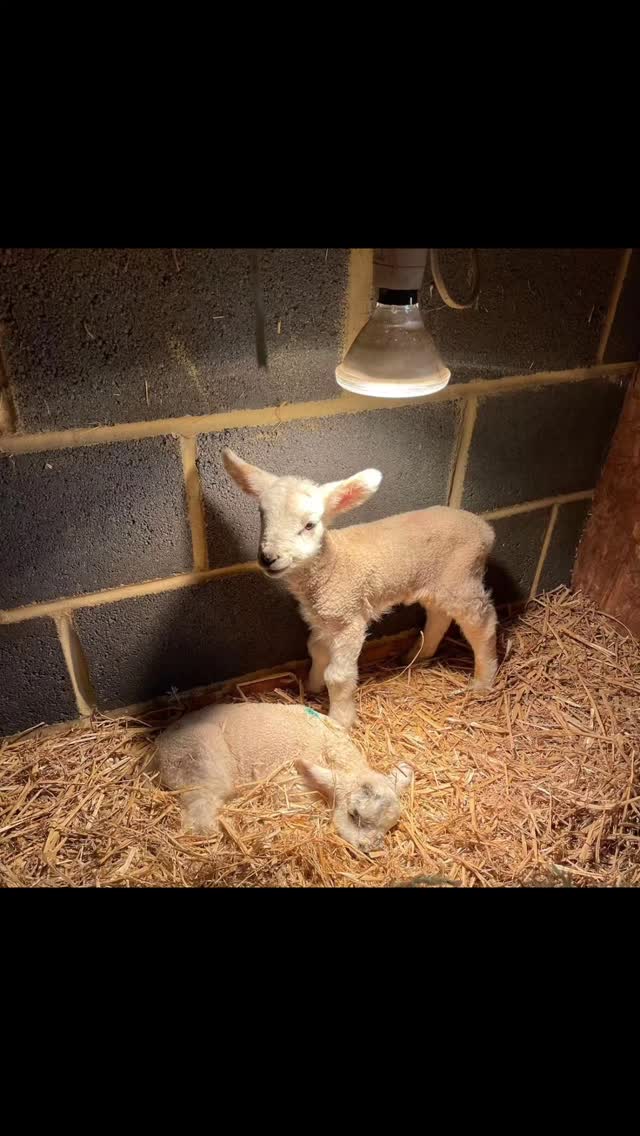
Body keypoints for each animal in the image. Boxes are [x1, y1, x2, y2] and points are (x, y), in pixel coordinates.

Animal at [156, 701, 413, 852]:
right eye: (353, 814)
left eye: (389, 826)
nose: (369, 847)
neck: (333, 750)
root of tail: (157, 749)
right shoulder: (291, 786)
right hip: (200, 760)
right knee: (200, 812)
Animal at [222, 449, 498, 729]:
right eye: (262, 516)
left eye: (309, 525)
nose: (268, 558)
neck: (330, 565)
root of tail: (484, 528)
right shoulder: (323, 619)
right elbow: (316, 652)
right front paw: (312, 686)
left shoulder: (349, 620)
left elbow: (338, 676)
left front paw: (339, 720)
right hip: (436, 582)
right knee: (439, 617)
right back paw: (416, 657)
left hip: (461, 578)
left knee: (482, 624)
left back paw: (483, 682)